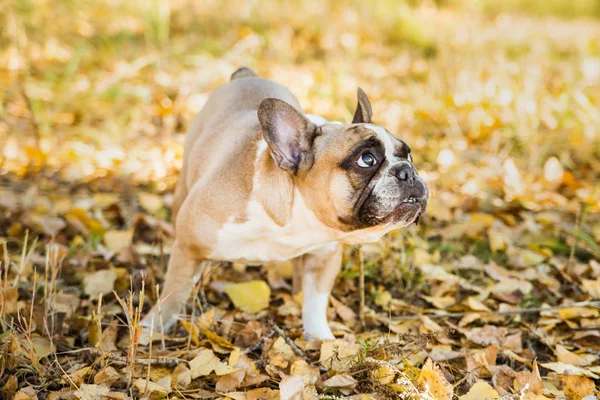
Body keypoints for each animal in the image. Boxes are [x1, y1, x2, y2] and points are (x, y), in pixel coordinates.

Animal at [141, 66, 428, 340]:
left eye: (409, 155)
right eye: (366, 159)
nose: (408, 172)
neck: (291, 218)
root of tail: (245, 76)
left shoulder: (323, 256)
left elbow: (315, 301)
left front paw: (320, 338)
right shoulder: (189, 247)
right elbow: (173, 292)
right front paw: (152, 328)